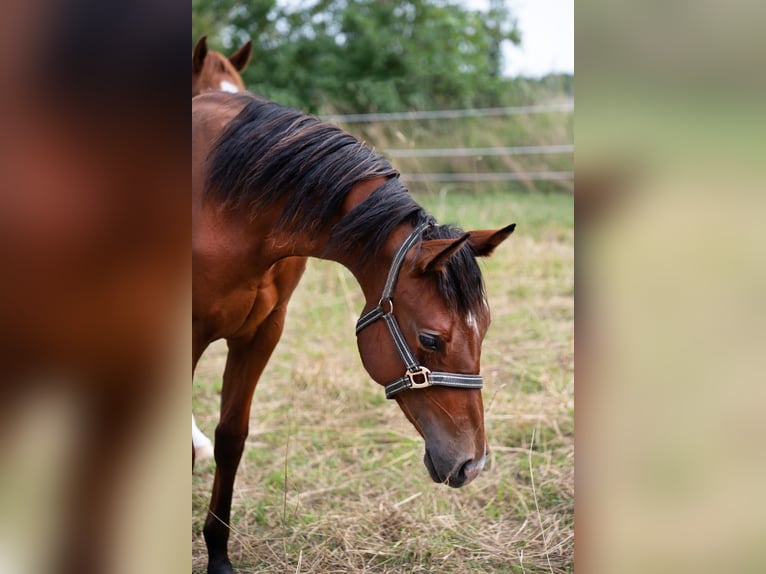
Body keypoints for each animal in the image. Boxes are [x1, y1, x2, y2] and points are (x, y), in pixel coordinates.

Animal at [192, 91, 515, 574]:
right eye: (431, 339)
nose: (472, 464)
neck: (223, 205)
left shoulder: (261, 333)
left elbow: (231, 437)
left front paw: (218, 554)